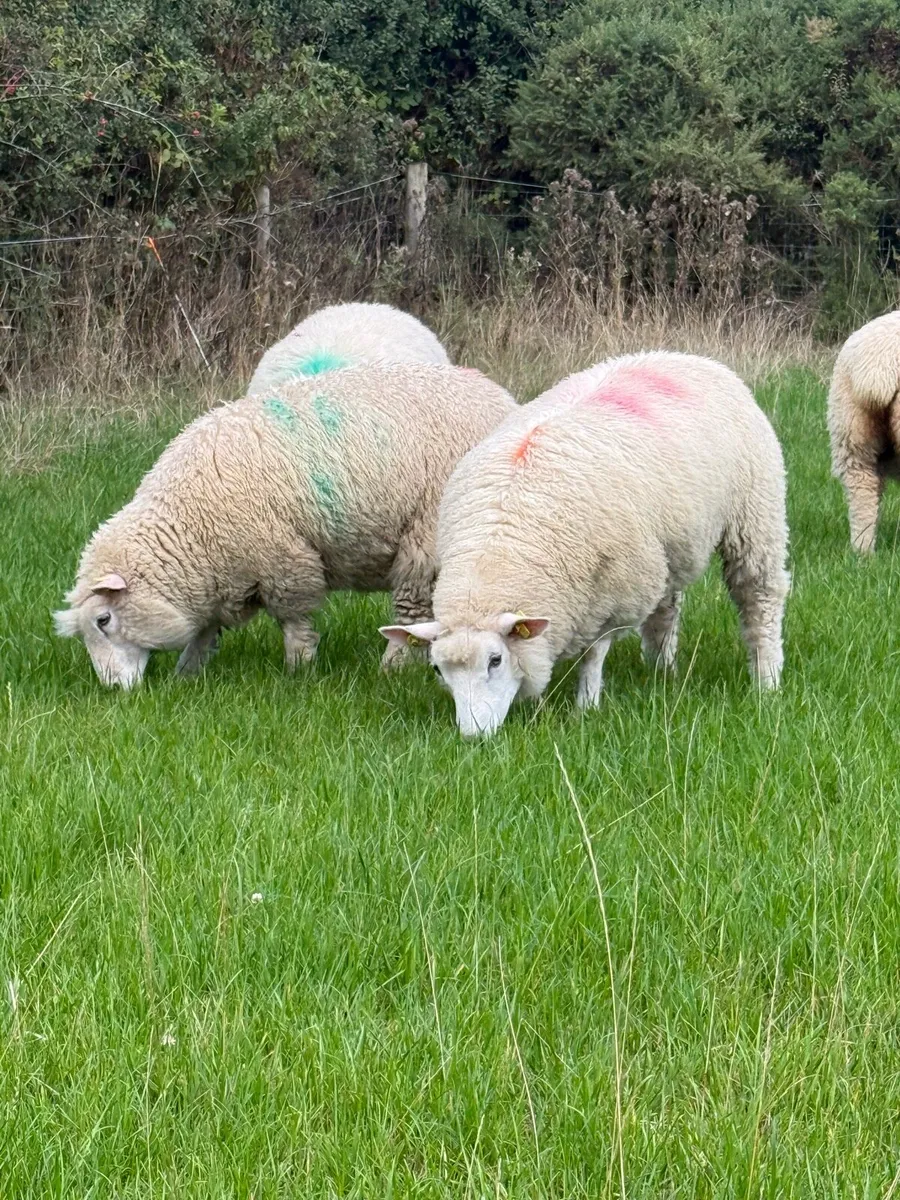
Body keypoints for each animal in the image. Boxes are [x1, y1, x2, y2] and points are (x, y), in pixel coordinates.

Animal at [54, 365, 516, 688]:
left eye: (103, 621)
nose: (114, 689)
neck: (188, 524)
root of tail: (503, 400)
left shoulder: (282, 560)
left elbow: (293, 620)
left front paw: (299, 669)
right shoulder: (222, 574)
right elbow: (204, 630)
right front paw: (186, 674)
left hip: (424, 536)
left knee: (412, 608)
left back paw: (392, 667)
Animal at [381, 351, 789, 737]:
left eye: (495, 661)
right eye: (437, 669)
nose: (473, 736)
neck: (500, 545)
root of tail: (688, 357)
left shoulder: (612, 591)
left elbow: (594, 652)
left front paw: (586, 705)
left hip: (756, 514)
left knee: (760, 599)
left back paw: (767, 681)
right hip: (670, 544)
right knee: (666, 608)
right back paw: (662, 672)